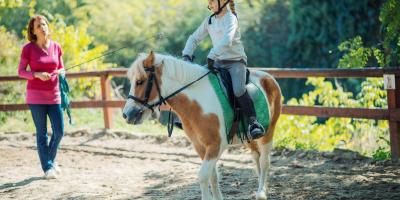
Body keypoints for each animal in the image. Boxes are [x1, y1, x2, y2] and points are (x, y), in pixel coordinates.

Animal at [122, 52, 282, 200]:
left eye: (140, 81)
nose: (127, 114)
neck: (198, 104)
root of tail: (268, 77)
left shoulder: (216, 146)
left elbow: (203, 176)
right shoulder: (199, 146)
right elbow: (212, 176)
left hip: (268, 132)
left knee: (264, 161)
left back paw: (261, 193)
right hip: (249, 137)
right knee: (256, 157)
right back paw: (263, 188)